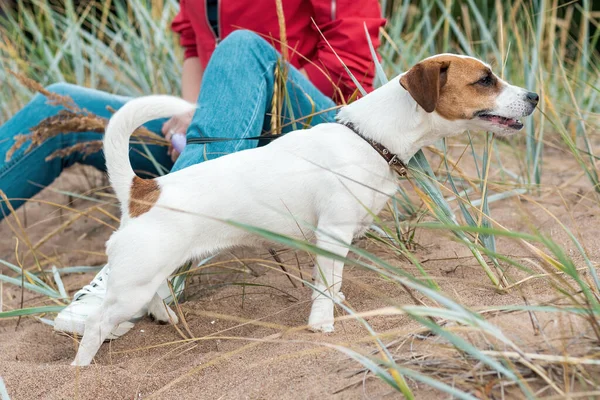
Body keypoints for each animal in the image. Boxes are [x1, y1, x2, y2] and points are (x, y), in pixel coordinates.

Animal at [71, 54, 540, 366]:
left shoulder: (338, 238)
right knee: (96, 325)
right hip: (132, 282)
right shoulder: (332, 231)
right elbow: (324, 288)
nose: (535, 96)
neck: (368, 138)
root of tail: (144, 189)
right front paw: (322, 324)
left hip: (153, 273)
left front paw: (337, 303)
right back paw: (82, 369)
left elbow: (333, 281)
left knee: (153, 297)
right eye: (485, 80)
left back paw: (164, 317)